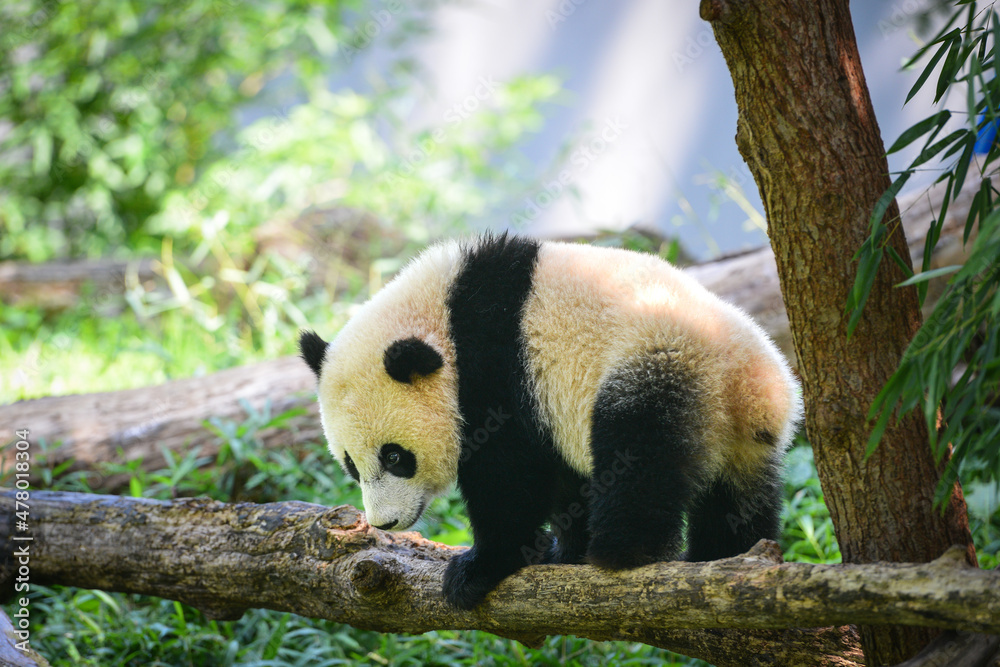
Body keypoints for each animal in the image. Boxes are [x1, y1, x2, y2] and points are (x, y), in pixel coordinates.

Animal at [299, 233, 802, 610]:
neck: (443, 314)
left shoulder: (496, 373)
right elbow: (562, 479)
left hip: (660, 368)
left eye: (395, 457)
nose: (384, 523)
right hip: (743, 438)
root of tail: (750, 383)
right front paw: (564, 551)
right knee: (735, 499)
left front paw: (480, 568)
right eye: (350, 465)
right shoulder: (545, 408)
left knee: (639, 458)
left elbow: (509, 480)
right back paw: (723, 557)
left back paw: (622, 552)